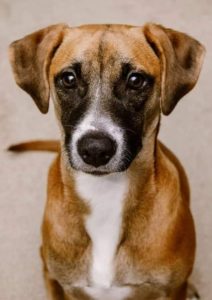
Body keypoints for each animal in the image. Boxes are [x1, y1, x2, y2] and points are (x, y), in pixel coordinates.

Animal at [8, 24, 205, 300]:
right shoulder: (73, 290)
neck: (105, 194)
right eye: (68, 79)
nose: (95, 149)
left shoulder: (171, 288)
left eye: (135, 80)